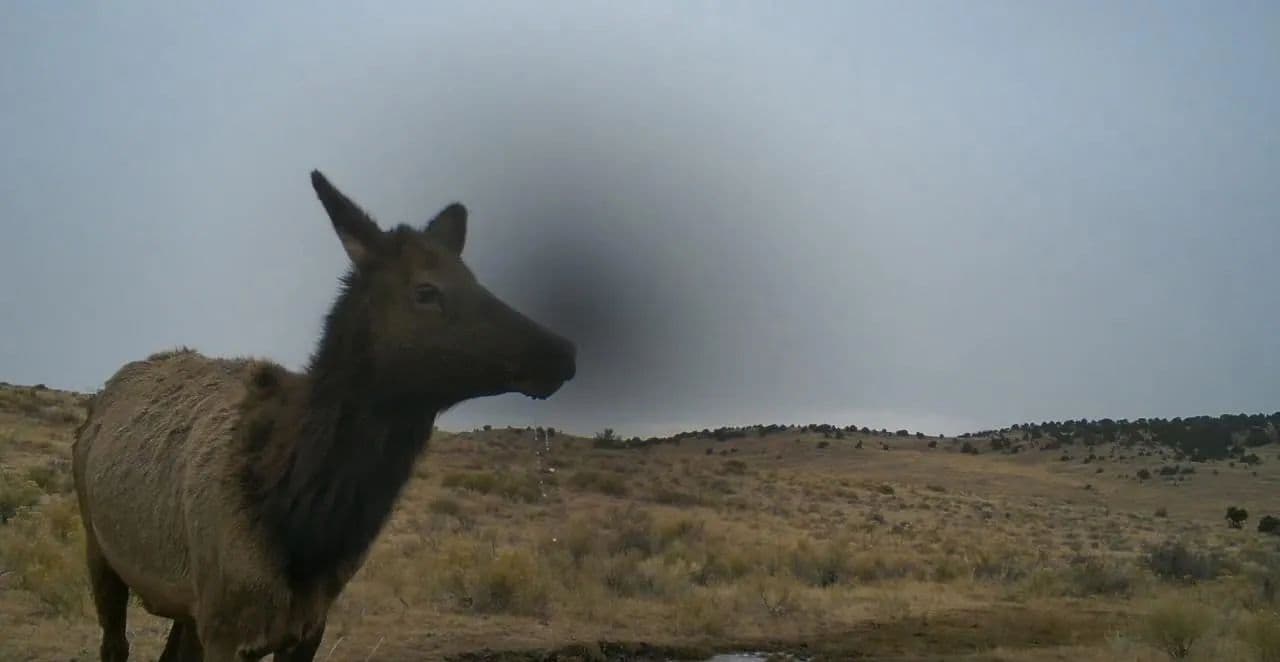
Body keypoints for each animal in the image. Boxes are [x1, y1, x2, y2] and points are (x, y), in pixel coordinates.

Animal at [72, 170, 577, 661]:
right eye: (425, 289)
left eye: (475, 278)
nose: (561, 351)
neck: (303, 529)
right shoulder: (225, 625)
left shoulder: (307, 626)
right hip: (100, 548)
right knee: (114, 644)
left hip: (185, 606)